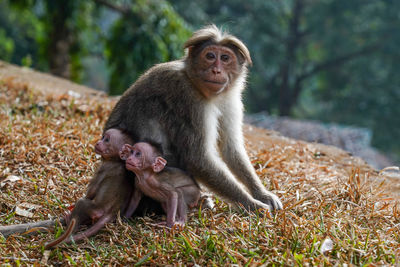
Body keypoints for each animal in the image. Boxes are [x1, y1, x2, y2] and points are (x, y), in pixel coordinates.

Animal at [104, 25, 282, 214]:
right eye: (210, 56)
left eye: (225, 58)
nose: (216, 70)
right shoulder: (189, 99)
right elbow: (198, 158)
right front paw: (252, 204)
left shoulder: (230, 99)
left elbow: (231, 149)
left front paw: (262, 194)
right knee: (154, 109)